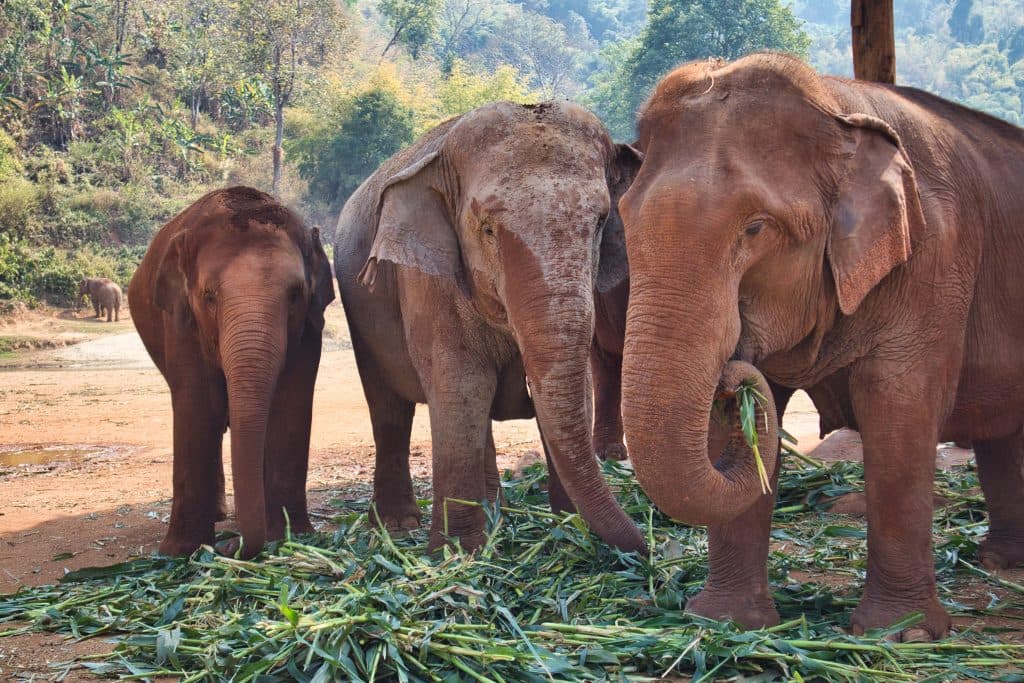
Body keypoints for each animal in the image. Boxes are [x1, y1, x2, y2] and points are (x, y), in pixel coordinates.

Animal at [129, 186, 335, 559]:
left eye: (295, 295)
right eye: (209, 296)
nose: (230, 544)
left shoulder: (310, 323)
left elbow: (291, 403)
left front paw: (292, 535)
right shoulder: (181, 320)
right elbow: (198, 405)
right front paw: (180, 552)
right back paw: (219, 516)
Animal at [334, 101, 646, 554]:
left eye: (602, 221)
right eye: (487, 230)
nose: (646, 548)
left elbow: (574, 389)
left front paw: (570, 533)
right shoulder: (430, 283)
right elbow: (461, 386)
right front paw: (457, 553)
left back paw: (496, 509)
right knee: (390, 410)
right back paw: (398, 527)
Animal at [618, 53, 1024, 640]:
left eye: (756, 228)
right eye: (625, 222)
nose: (731, 376)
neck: (840, 105)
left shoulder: (937, 258)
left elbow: (898, 410)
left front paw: (901, 634)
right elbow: (748, 421)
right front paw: (727, 624)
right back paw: (1001, 560)